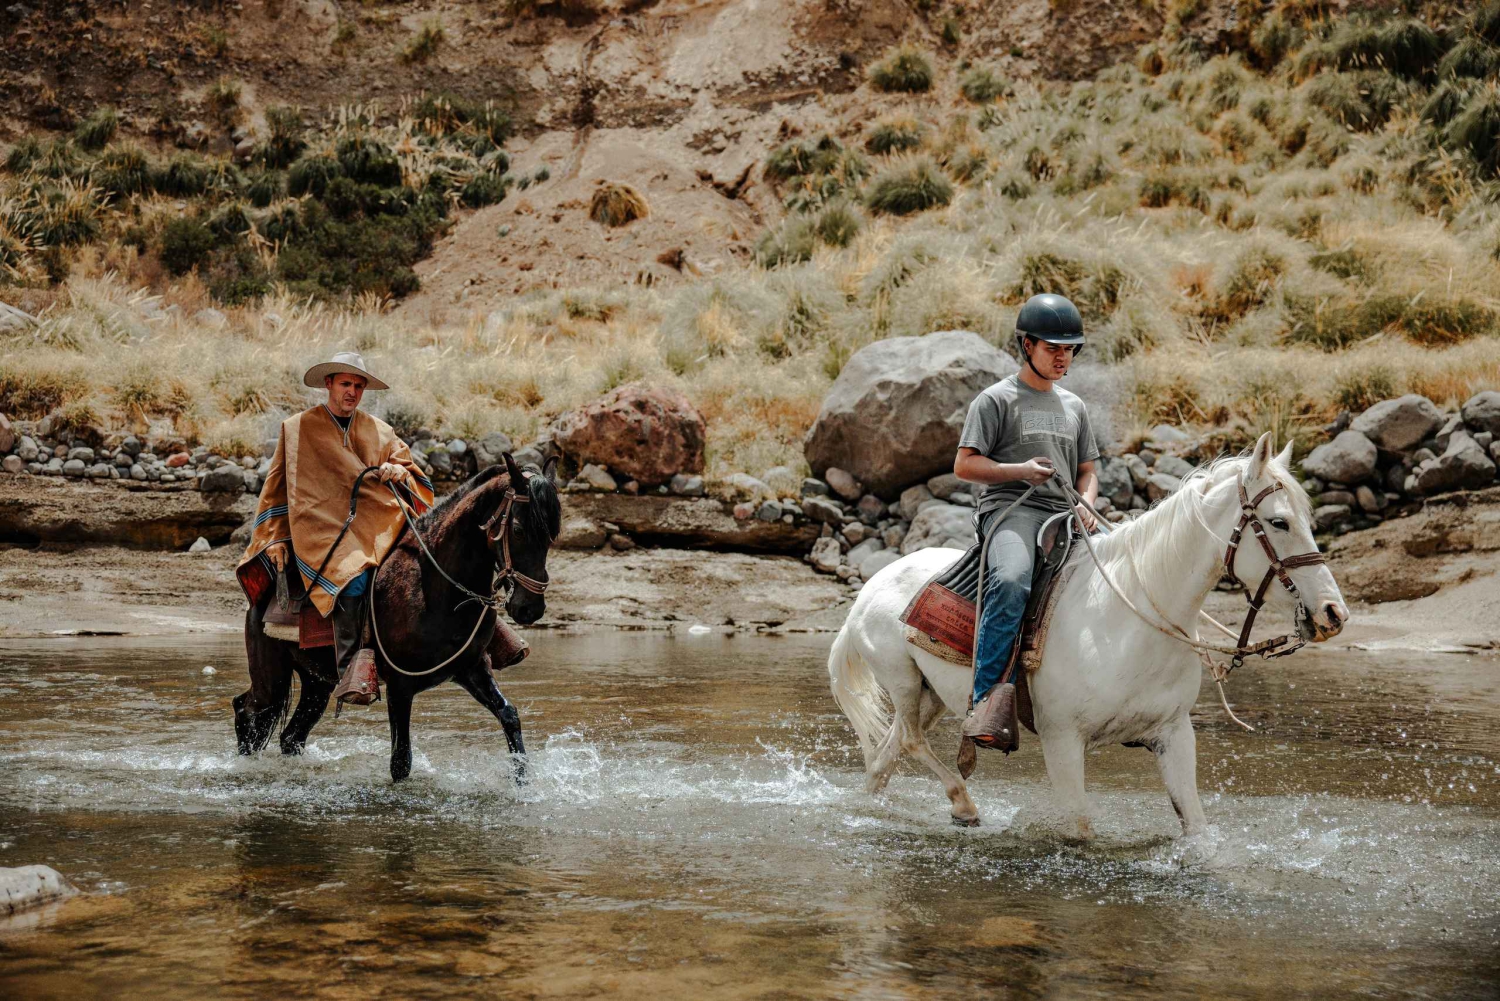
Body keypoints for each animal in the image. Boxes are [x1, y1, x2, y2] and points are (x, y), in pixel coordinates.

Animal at [232, 453, 562, 782]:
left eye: (551, 536)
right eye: (518, 530)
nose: (531, 608)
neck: (435, 587)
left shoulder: (472, 668)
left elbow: (509, 714)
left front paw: (522, 780)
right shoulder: (400, 687)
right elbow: (401, 762)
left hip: (317, 683)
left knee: (290, 737)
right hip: (271, 677)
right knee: (247, 710)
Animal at [827, 433, 1349, 836]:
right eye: (1279, 522)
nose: (1333, 613)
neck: (1128, 624)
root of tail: (867, 590)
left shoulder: (1174, 734)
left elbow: (1197, 829)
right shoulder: (1063, 741)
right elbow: (1080, 830)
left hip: (932, 692)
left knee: (888, 752)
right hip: (901, 680)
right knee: (910, 740)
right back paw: (964, 805)